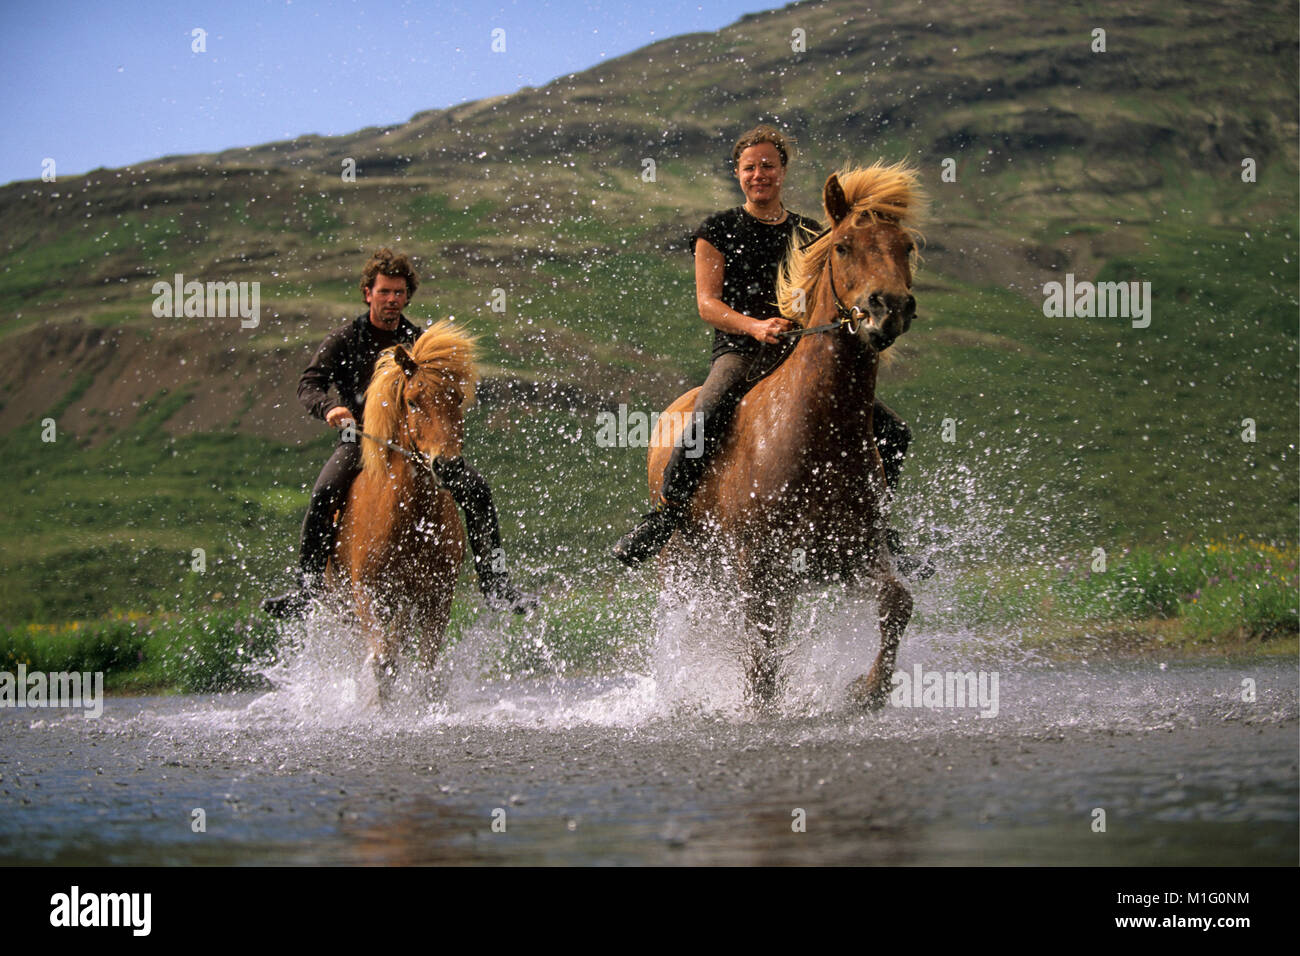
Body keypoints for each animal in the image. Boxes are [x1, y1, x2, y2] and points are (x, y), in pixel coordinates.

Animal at [328, 321, 478, 701]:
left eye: (457, 399)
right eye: (412, 400)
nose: (448, 466)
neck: (412, 521)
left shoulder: (436, 597)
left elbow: (427, 669)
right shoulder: (369, 596)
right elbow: (383, 665)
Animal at [647, 162, 926, 710]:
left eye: (905, 245)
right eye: (843, 247)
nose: (889, 309)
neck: (818, 432)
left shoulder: (852, 554)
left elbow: (897, 602)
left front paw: (869, 689)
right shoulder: (758, 568)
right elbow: (760, 660)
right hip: (686, 565)